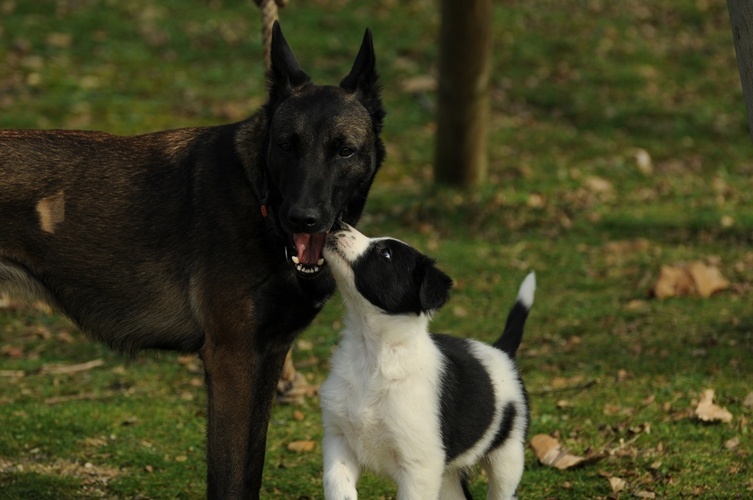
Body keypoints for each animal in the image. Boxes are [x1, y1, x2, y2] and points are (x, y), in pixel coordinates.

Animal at [0, 21, 384, 498]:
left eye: (344, 150)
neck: (259, 198)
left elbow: (250, 472)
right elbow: (230, 478)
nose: (302, 218)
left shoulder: (267, 358)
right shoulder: (231, 360)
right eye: (286, 145)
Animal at [320, 224, 532, 500]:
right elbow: (338, 485)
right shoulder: (339, 439)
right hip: (449, 478)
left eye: (385, 253)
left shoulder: (419, 468)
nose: (337, 224)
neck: (372, 354)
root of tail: (501, 351)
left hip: (507, 457)